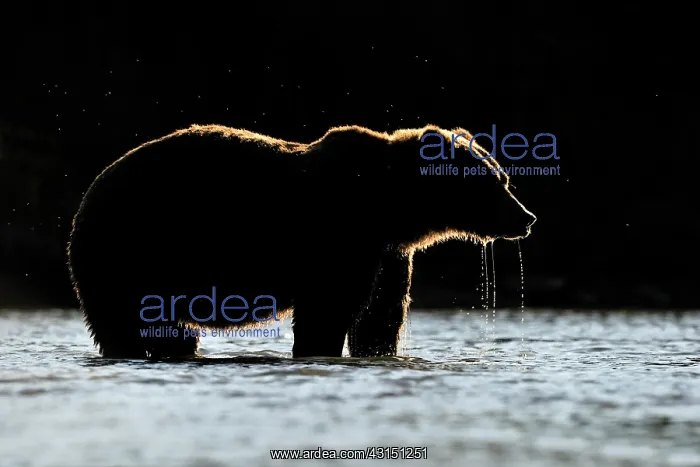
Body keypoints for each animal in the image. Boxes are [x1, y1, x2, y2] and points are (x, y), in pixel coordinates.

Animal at [67, 124, 536, 359]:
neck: (389, 205)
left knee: (173, 332)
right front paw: (318, 349)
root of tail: (88, 196)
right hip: (130, 247)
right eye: (495, 183)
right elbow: (327, 310)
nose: (526, 218)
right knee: (122, 322)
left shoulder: (387, 252)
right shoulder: (339, 236)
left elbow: (379, 316)